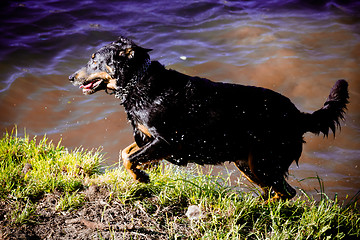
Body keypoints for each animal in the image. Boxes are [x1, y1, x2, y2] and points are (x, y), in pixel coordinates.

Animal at [68, 36, 348, 201]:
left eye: (95, 61)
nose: (71, 77)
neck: (138, 84)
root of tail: (298, 115)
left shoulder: (167, 141)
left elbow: (129, 157)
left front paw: (141, 177)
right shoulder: (150, 140)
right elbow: (127, 152)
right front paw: (142, 173)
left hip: (264, 161)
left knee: (285, 192)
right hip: (249, 163)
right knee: (277, 191)